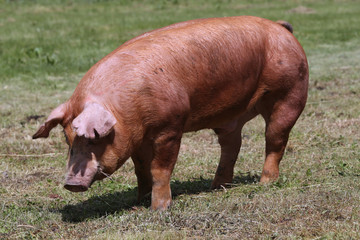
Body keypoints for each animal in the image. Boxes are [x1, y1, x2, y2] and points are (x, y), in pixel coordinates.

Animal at [32, 15, 310, 209]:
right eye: (67, 138)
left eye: (94, 138)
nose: (71, 183)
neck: (127, 110)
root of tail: (281, 27)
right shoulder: (137, 138)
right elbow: (141, 170)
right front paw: (138, 202)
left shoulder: (170, 128)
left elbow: (160, 169)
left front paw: (159, 209)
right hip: (230, 118)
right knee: (231, 146)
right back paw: (217, 187)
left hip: (291, 93)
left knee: (275, 140)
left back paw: (266, 183)